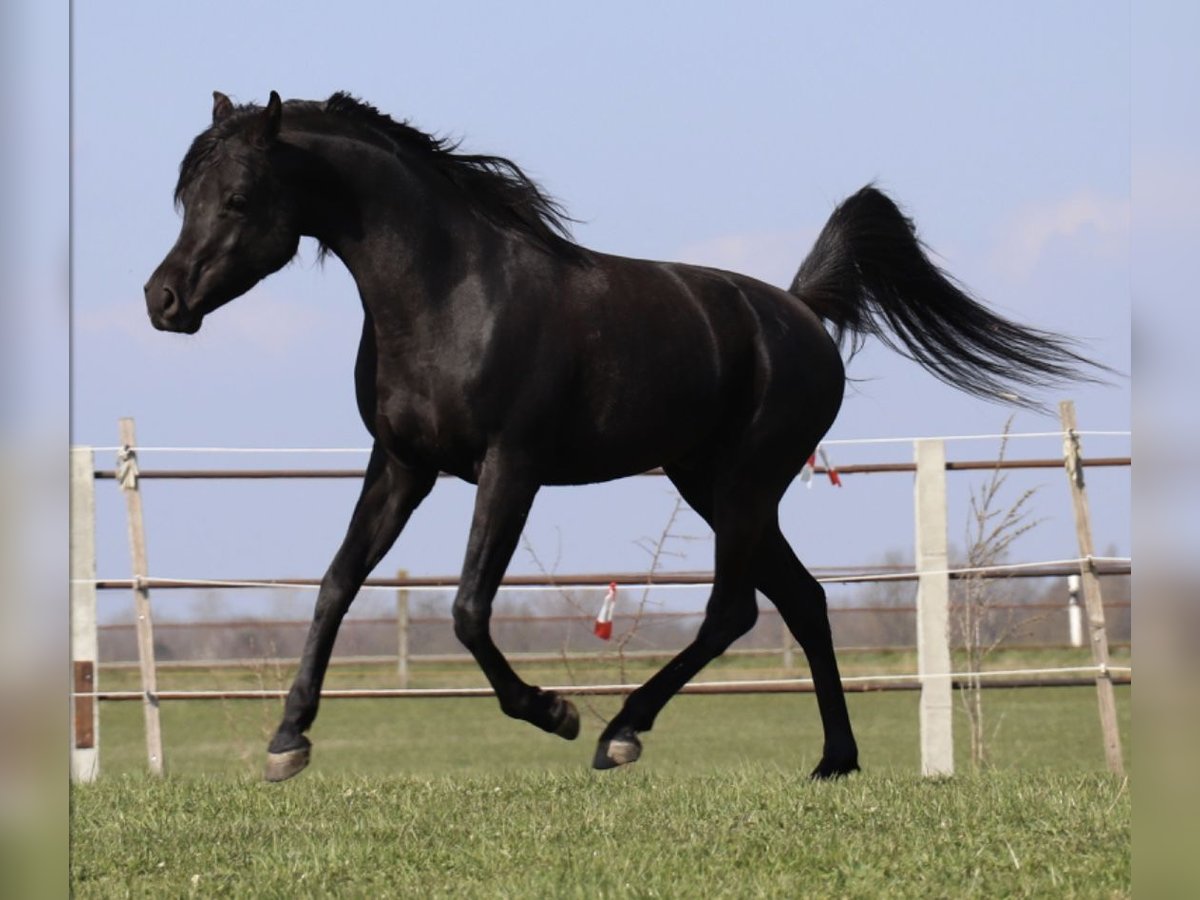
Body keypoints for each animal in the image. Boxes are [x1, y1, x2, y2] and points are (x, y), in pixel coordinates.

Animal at [142, 93, 1099, 782]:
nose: (163, 300)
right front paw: (287, 740)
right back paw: (833, 761)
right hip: (707, 481)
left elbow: (467, 608)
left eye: (238, 197)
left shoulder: (511, 467)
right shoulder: (402, 466)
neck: (451, 294)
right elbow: (336, 585)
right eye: (185, 195)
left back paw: (621, 732)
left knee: (734, 609)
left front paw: (556, 712)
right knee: (803, 599)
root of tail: (800, 312)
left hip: (743, 484)